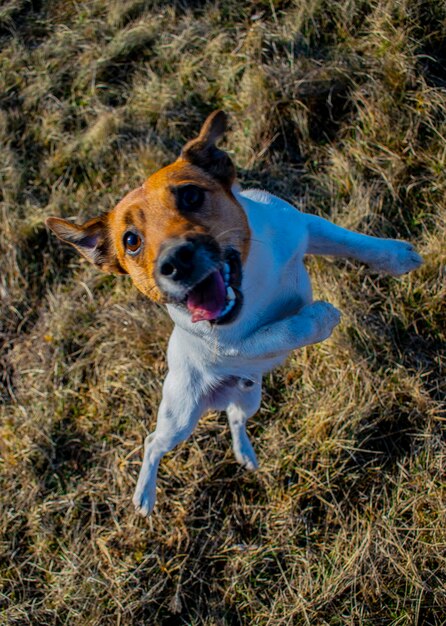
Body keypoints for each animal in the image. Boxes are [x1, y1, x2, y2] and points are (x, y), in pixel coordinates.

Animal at [47, 109, 424, 516]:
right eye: (131, 241)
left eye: (191, 195)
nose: (176, 262)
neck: (253, 279)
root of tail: (222, 396)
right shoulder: (231, 344)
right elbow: (281, 331)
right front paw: (318, 319)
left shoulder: (306, 226)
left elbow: (354, 243)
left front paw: (397, 257)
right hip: (180, 417)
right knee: (153, 443)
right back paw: (144, 494)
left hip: (250, 399)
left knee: (234, 419)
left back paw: (245, 453)